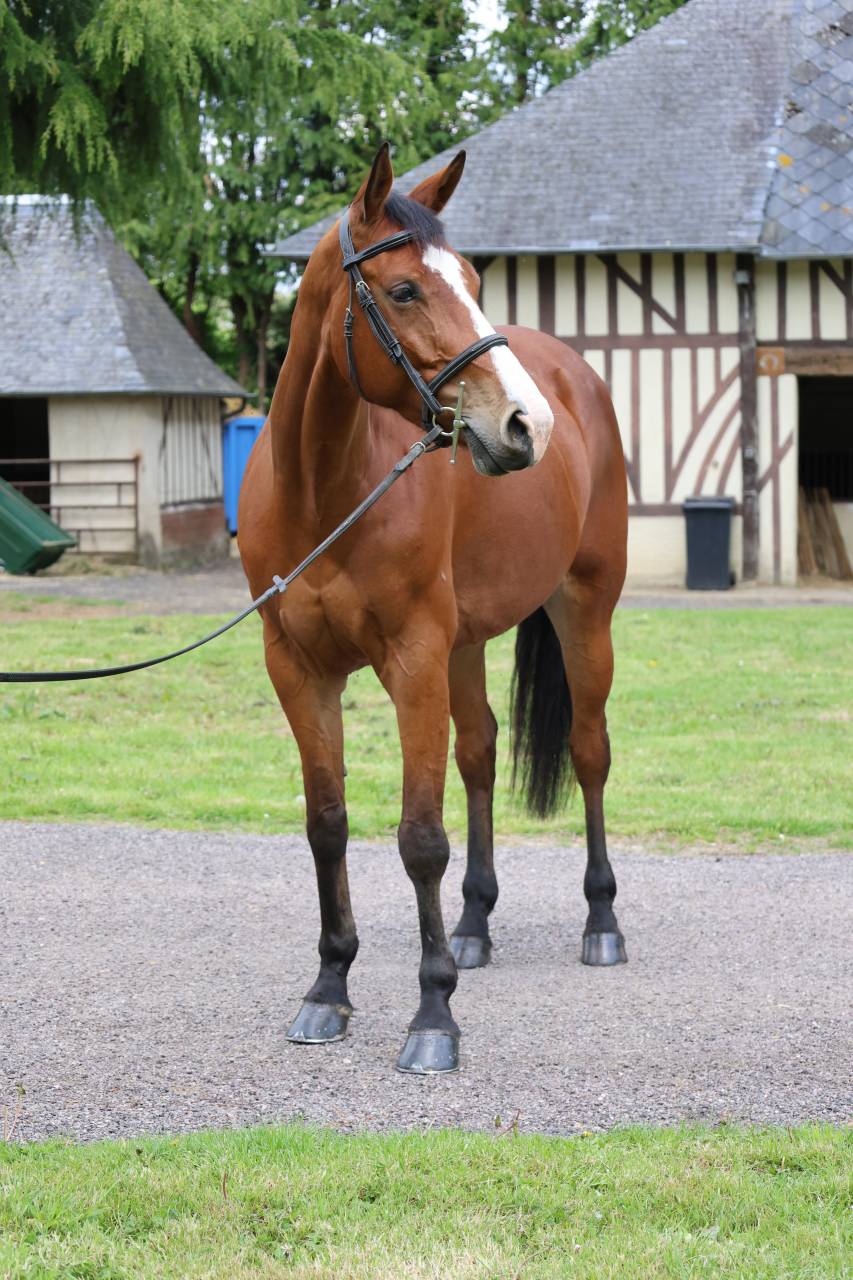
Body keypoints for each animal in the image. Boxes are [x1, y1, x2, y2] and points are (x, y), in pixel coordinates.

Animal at [238, 143, 628, 1074]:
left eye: (475, 280)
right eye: (406, 288)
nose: (526, 425)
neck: (326, 493)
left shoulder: (412, 656)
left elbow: (419, 837)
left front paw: (432, 1015)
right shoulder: (297, 668)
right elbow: (328, 825)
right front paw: (328, 987)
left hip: (583, 611)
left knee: (589, 751)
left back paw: (601, 921)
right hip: (466, 644)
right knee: (480, 753)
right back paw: (474, 924)